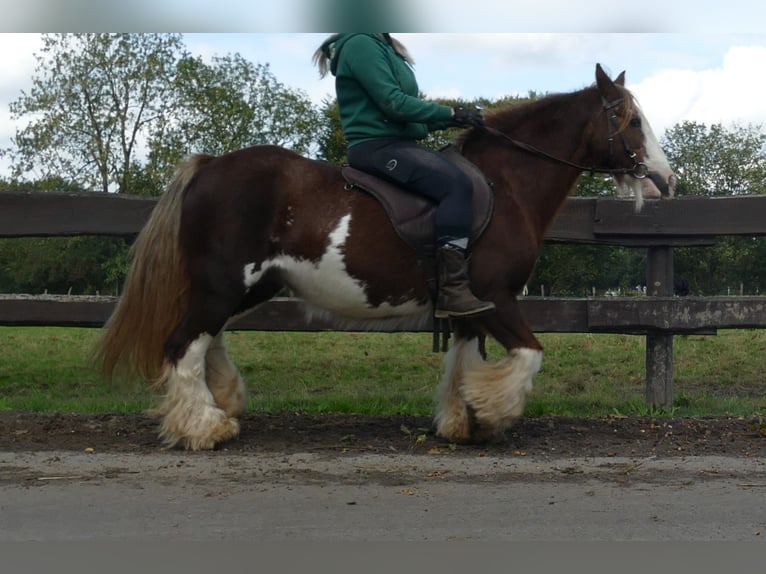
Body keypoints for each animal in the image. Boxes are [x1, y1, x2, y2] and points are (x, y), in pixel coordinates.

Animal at [95, 64, 675, 450]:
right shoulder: (498, 297)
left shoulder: (469, 306)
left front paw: (460, 420)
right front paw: (491, 416)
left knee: (206, 340)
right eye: (631, 121)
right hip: (224, 284)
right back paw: (204, 427)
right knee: (182, 346)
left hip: (247, 286)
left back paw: (223, 404)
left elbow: (465, 360)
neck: (504, 183)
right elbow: (528, 356)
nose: (666, 181)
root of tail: (210, 164)